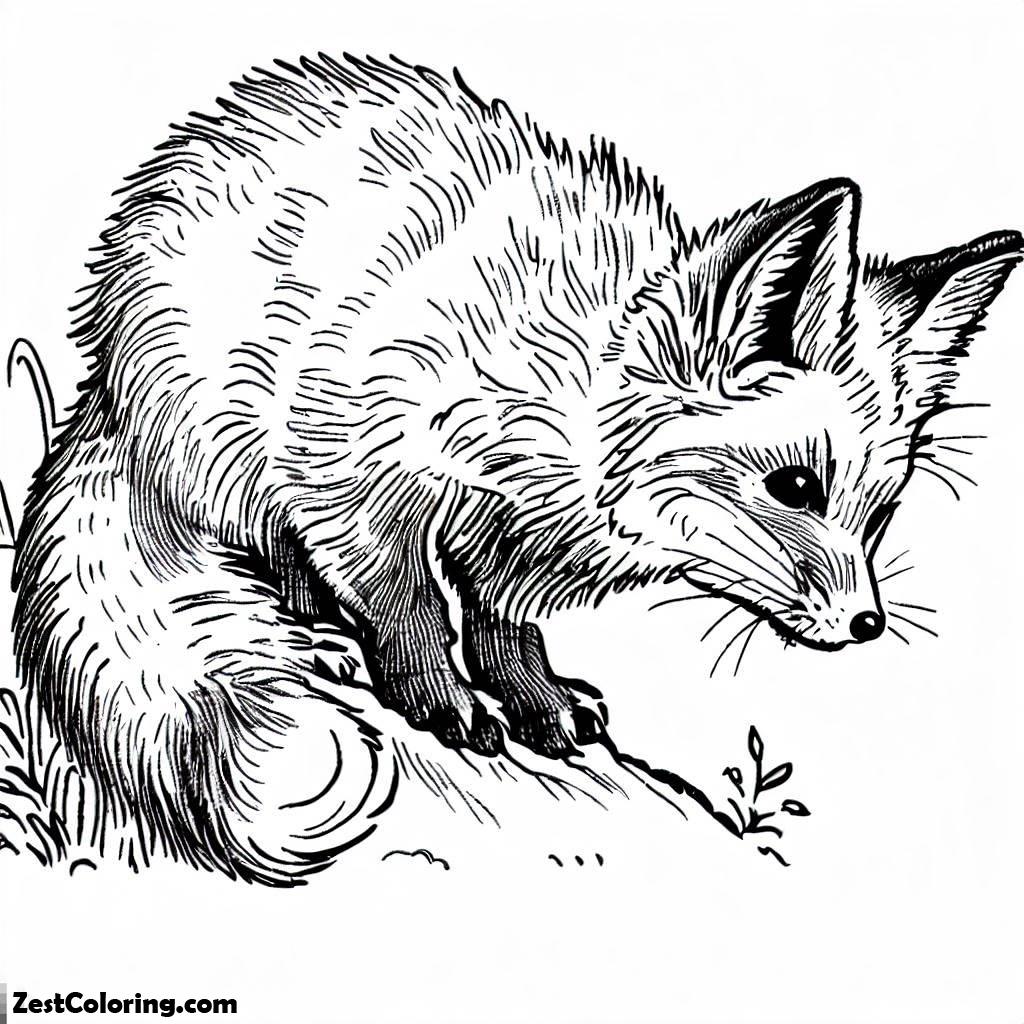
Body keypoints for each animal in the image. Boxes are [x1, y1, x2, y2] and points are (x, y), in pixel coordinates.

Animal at [12, 52, 1022, 884]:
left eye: (879, 512)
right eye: (797, 488)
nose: (867, 624)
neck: (556, 400)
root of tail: (100, 373)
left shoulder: (515, 540)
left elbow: (505, 625)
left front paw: (537, 702)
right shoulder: (358, 472)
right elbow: (408, 604)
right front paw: (439, 699)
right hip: (228, 453)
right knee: (269, 558)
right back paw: (318, 633)